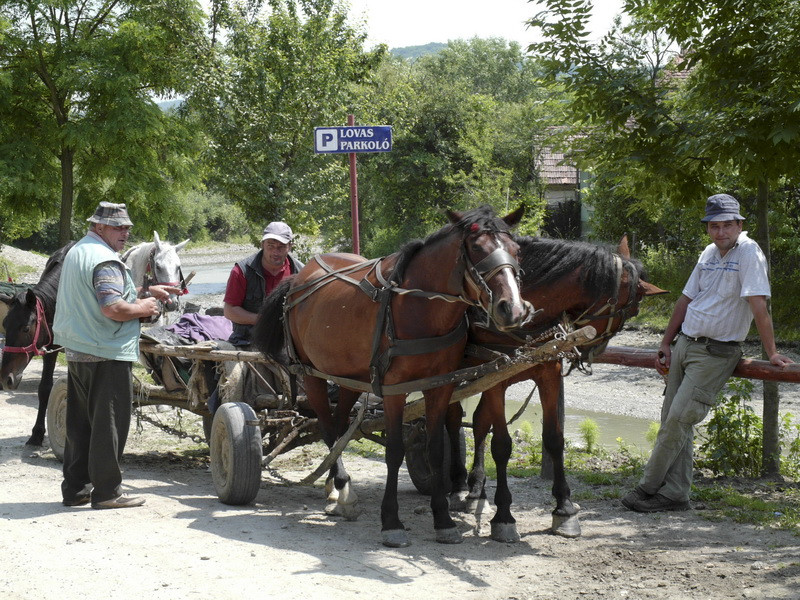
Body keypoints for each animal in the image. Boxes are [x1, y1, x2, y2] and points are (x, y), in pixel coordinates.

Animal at [255, 204, 532, 548]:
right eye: (477, 248)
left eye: (517, 250)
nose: (513, 310)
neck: (418, 307)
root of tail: (298, 279)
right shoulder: (394, 390)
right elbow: (394, 451)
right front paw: (392, 522)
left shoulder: (439, 386)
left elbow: (435, 450)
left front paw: (443, 520)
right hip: (311, 374)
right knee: (328, 429)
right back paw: (343, 490)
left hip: (347, 375)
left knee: (339, 425)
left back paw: (335, 489)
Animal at [446, 236, 664, 544]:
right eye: (632, 309)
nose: (593, 353)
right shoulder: (496, 379)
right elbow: (502, 445)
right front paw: (504, 516)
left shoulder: (546, 375)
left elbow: (554, 439)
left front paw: (564, 508)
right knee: (453, 420)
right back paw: (457, 487)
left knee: (477, 423)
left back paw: (476, 490)